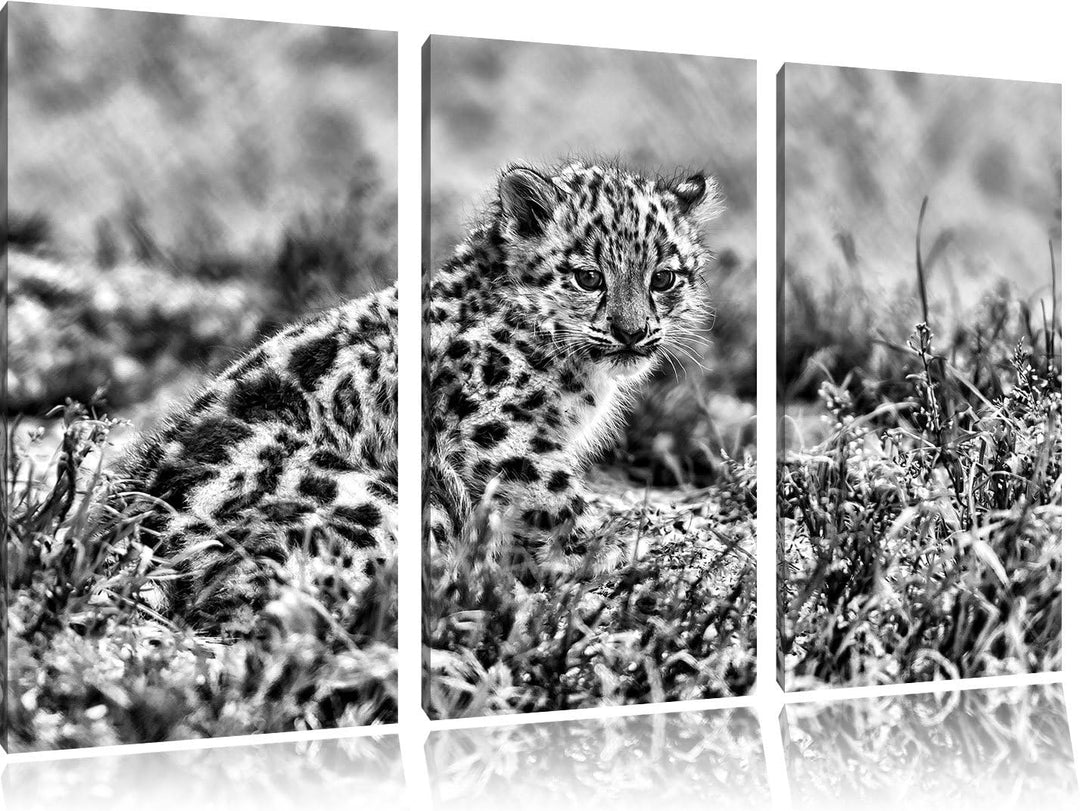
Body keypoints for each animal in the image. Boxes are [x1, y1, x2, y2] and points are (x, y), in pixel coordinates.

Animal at [425, 159, 722, 578]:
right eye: (589, 278)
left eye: (663, 278)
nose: (631, 332)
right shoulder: (493, 427)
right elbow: (550, 490)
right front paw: (603, 545)